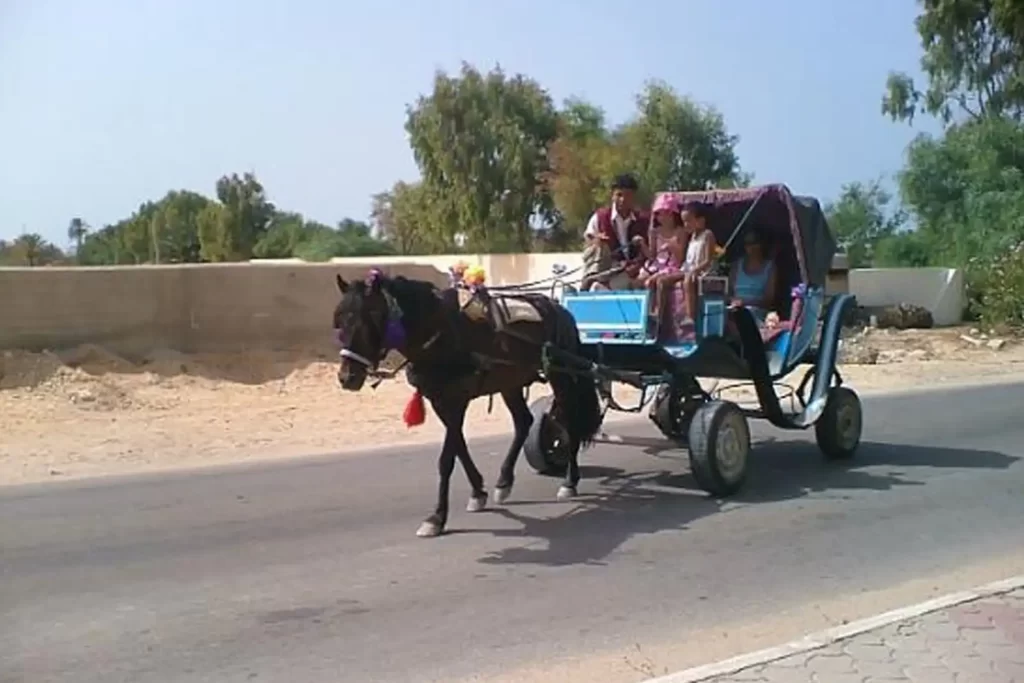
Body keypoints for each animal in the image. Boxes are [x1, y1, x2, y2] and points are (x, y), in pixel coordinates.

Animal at [331, 270, 602, 536]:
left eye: (374, 316)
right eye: (339, 321)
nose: (347, 377)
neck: (440, 331)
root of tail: (558, 308)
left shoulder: (456, 399)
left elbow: (446, 459)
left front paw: (437, 517)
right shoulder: (439, 400)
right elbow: (459, 447)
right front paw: (478, 492)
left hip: (562, 375)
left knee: (570, 420)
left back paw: (570, 481)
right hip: (510, 381)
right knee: (524, 422)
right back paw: (504, 481)